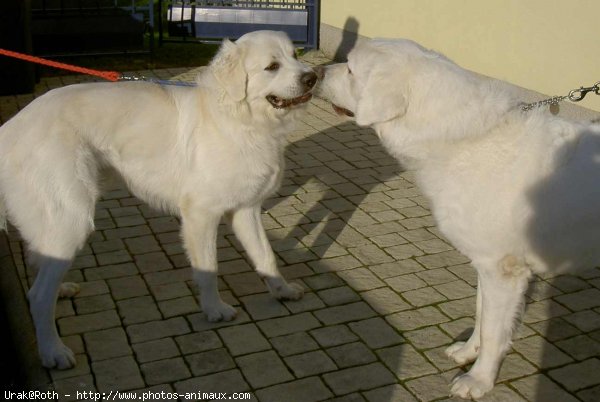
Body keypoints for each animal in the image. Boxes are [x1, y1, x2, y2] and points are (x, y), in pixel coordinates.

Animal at [0, 30, 316, 370]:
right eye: (272, 66)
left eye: (294, 56)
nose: (312, 77)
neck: (238, 116)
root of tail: (10, 127)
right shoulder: (201, 214)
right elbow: (208, 268)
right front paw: (214, 309)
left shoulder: (246, 210)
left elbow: (266, 257)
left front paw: (281, 290)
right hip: (73, 218)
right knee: (38, 296)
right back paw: (52, 351)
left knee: (41, 265)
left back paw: (62, 292)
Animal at [314, 38, 600, 398]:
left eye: (350, 69)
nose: (314, 73)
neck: (463, 139)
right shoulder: (485, 264)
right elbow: (481, 314)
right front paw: (468, 352)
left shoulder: (503, 270)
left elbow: (493, 331)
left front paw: (478, 380)